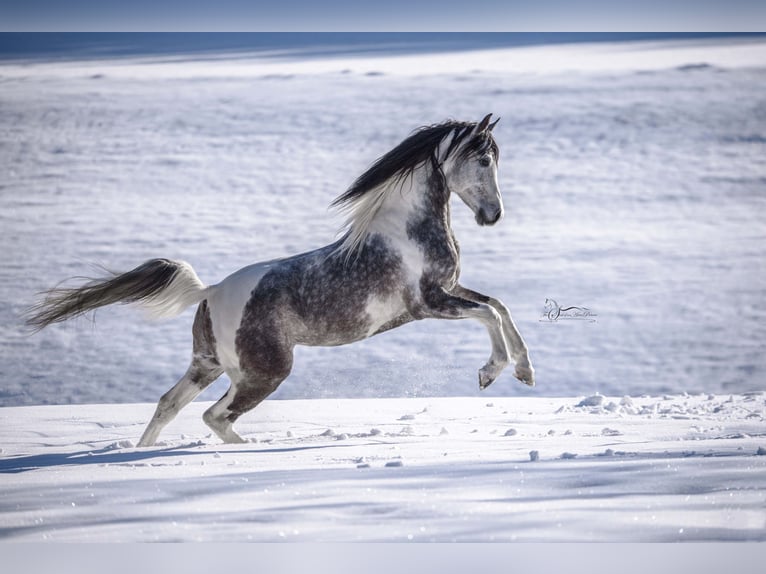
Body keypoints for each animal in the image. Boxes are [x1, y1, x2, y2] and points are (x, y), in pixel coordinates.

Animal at [26, 114, 535, 447]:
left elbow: (501, 306)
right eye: (484, 160)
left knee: (169, 404)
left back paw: (142, 455)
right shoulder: (428, 303)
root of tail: (211, 293)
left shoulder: (450, 291)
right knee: (214, 416)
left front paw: (525, 371)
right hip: (265, 371)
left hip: (209, 364)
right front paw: (490, 373)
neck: (405, 231)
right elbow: (489, 313)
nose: (493, 215)